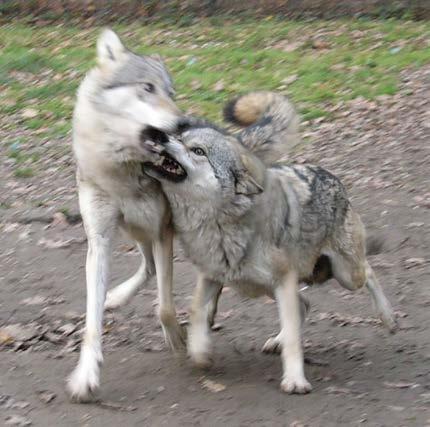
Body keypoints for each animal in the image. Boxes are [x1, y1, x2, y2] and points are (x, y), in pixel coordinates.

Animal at [67, 28, 186, 402]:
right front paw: (86, 377)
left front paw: (178, 341)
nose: (184, 122)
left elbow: (165, 307)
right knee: (147, 268)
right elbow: (91, 322)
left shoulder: (163, 231)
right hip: (135, 230)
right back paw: (116, 297)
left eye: (171, 93)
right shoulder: (100, 239)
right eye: (147, 88)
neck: (123, 171)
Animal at [140, 93, 396, 394]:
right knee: (305, 304)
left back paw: (388, 319)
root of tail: (332, 177)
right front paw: (200, 353)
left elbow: (295, 341)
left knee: (368, 271)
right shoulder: (211, 276)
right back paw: (276, 341)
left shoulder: (283, 279)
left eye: (198, 151)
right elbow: (196, 314)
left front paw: (295, 381)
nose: (159, 134)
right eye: (178, 137)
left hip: (344, 275)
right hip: (269, 286)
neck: (220, 226)